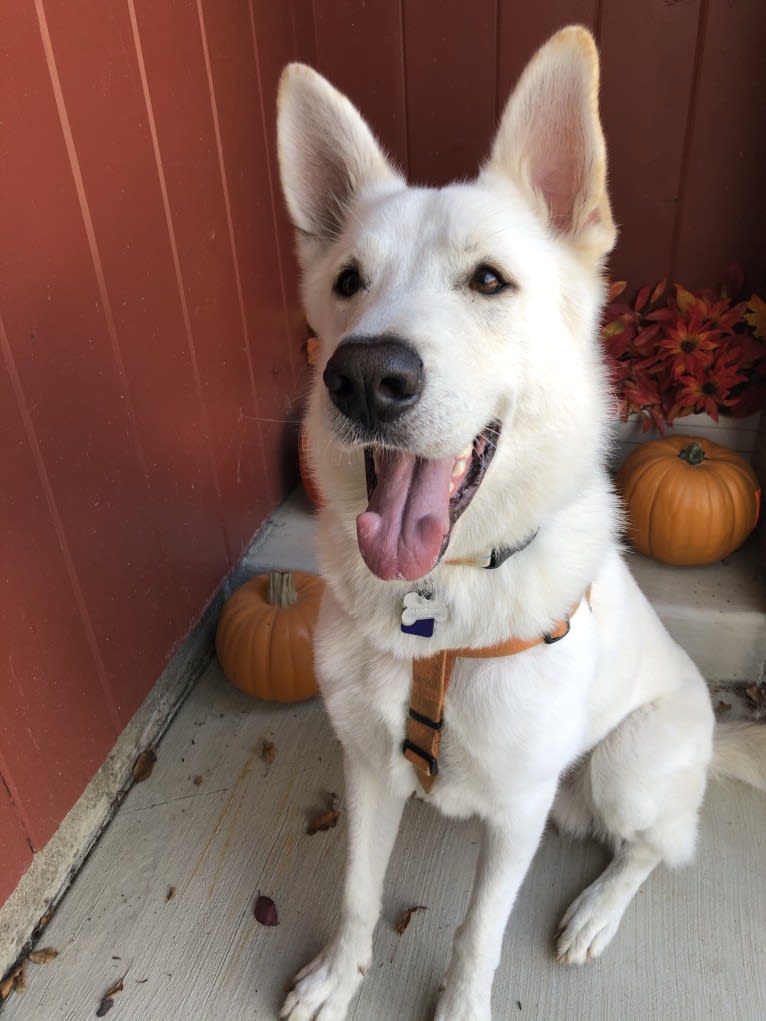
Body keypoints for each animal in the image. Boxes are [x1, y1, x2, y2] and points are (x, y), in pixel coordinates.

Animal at [277, 27, 766, 1016]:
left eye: (489, 281)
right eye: (348, 280)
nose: (364, 378)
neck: (437, 607)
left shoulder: (515, 813)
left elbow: (477, 934)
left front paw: (461, 1004)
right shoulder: (367, 768)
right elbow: (357, 893)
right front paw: (338, 978)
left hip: (622, 767)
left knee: (656, 846)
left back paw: (596, 911)